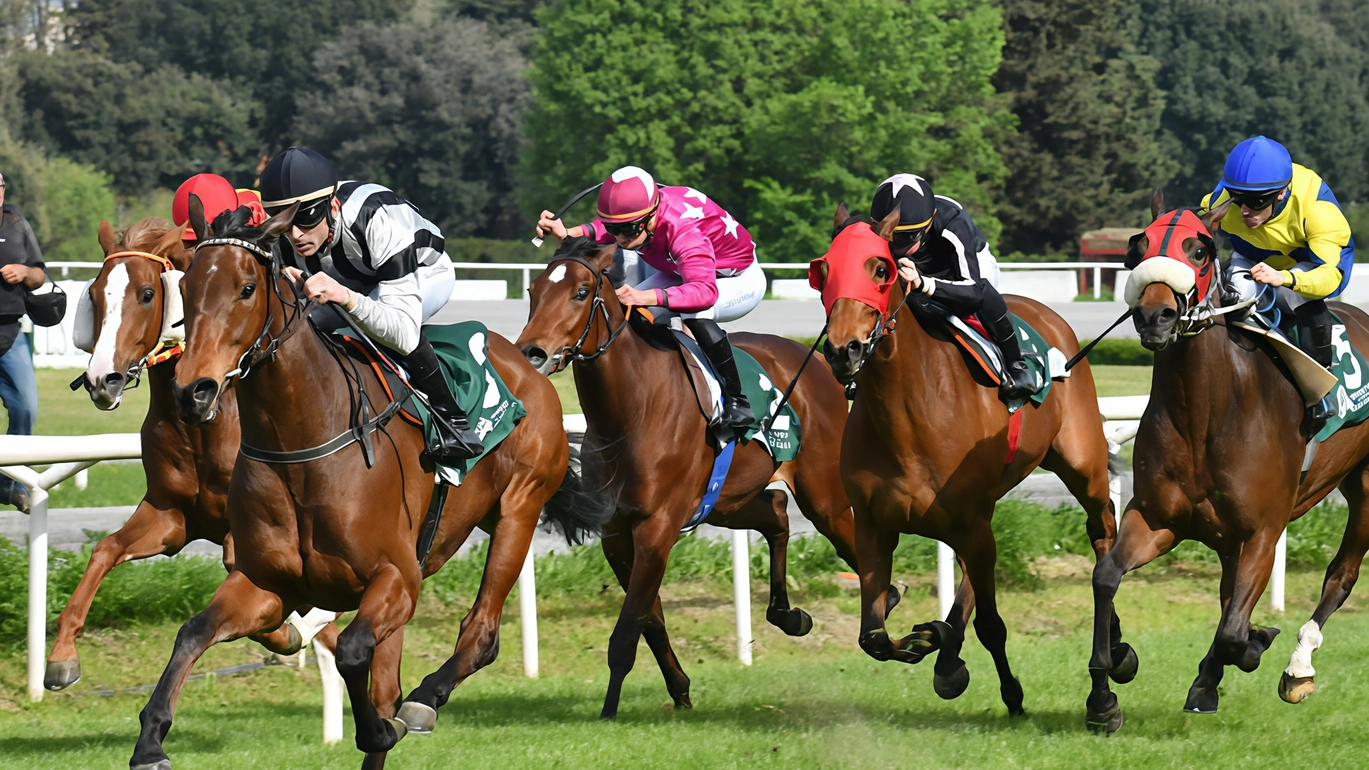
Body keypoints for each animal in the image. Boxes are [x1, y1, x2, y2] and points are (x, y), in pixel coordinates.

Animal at [815, 204, 1117, 712]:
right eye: (823, 271)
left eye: (881, 269)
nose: (843, 350)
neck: (907, 418)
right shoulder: (875, 526)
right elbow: (872, 636)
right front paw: (928, 640)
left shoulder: (971, 523)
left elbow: (992, 626)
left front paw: (1012, 694)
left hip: (1082, 468)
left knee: (1103, 531)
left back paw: (1112, 658)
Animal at [1089, 189, 1369, 728]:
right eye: (1137, 247)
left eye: (1199, 250)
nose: (1155, 317)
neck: (1206, 413)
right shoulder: (1158, 518)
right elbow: (1106, 576)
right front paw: (1108, 684)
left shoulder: (1263, 530)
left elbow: (1236, 632)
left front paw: (1256, 646)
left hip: (1366, 491)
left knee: (1340, 575)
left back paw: (1298, 666)